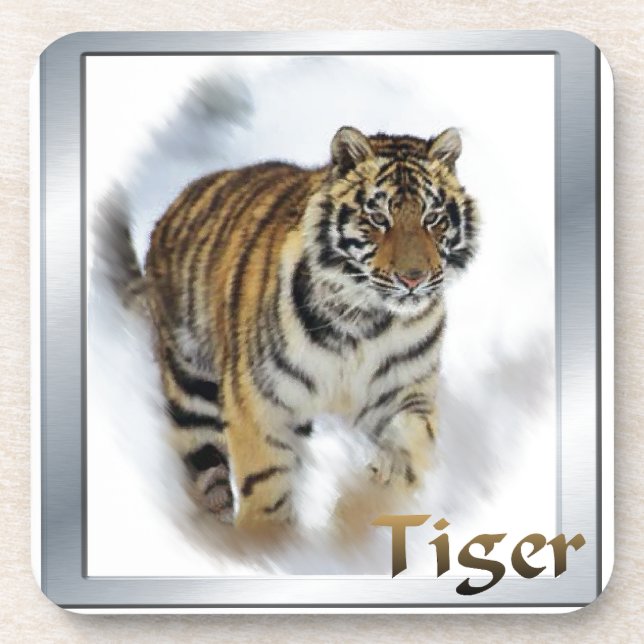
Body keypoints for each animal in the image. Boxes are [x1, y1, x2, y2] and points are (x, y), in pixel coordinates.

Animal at [108, 125, 479, 530]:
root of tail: (175, 206)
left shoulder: (406, 392)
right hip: (192, 389)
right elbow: (266, 482)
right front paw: (267, 535)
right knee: (209, 479)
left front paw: (372, 494)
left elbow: (413, 445)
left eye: (433, 218)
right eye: (379, 218)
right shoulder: (261, 402)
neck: (366, 322)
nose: (413, 278)